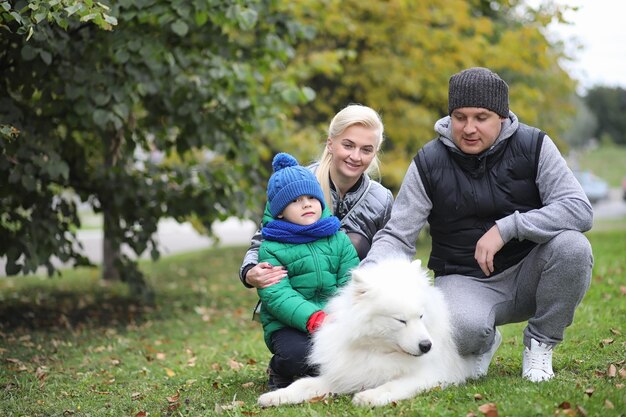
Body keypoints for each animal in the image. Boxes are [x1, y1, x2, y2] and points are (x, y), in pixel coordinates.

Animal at [255, 256, 472, 406]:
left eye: (421, 316)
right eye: (400, 320)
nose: (427, 346)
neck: (377, 352)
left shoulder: (430, 375)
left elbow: (393, 384)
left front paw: (369, 396)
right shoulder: (347, 373)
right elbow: (303, 384)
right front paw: (274, 397)